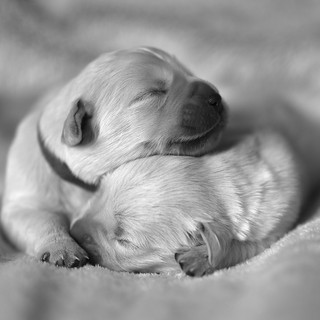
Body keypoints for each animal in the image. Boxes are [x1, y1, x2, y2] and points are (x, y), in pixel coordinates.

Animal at [1, 47, 228, 268]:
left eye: (189, 72)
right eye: (152, 93)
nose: (215, 97)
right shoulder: (23, 202)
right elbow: (42, 220)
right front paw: (63, 248)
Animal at [69, 129, 302, 276]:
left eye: (125, 241)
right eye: (100, 192)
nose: (73, 231)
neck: (221, 181)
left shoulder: (273, 224)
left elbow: (240, 247)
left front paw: (200, 258)